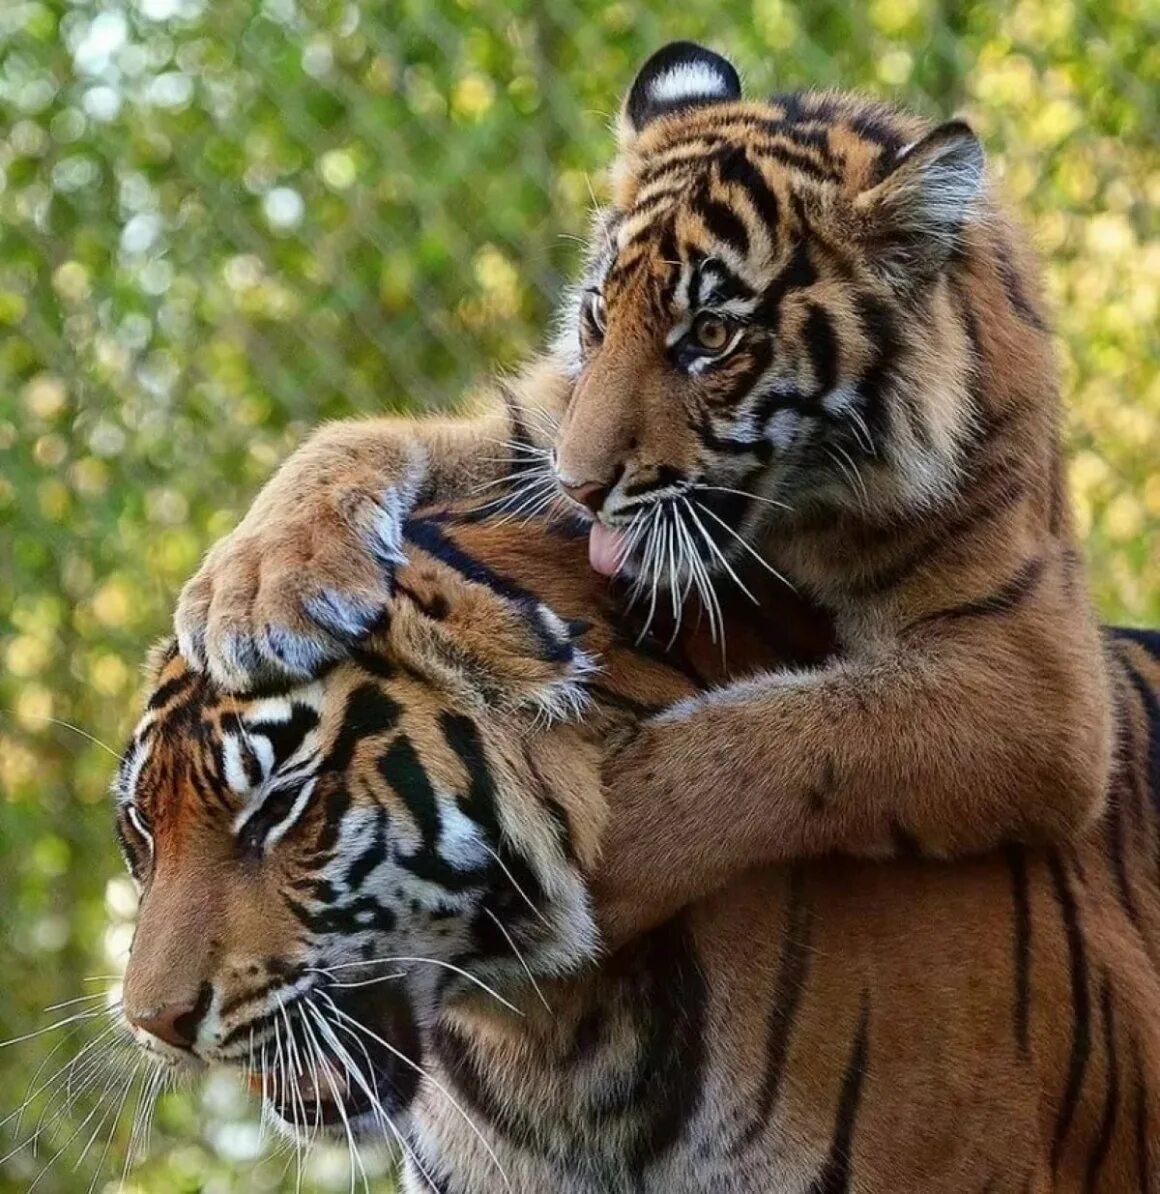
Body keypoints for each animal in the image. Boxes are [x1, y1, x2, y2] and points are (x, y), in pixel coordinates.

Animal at [173, 42, 1117, 943]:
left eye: (711, 335)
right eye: (599, 314)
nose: (582, 488)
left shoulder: (1032, 683)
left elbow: (782, 730)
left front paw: (595, 851)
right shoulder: (542, 425)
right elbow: (353, 435)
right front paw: (254, 592)